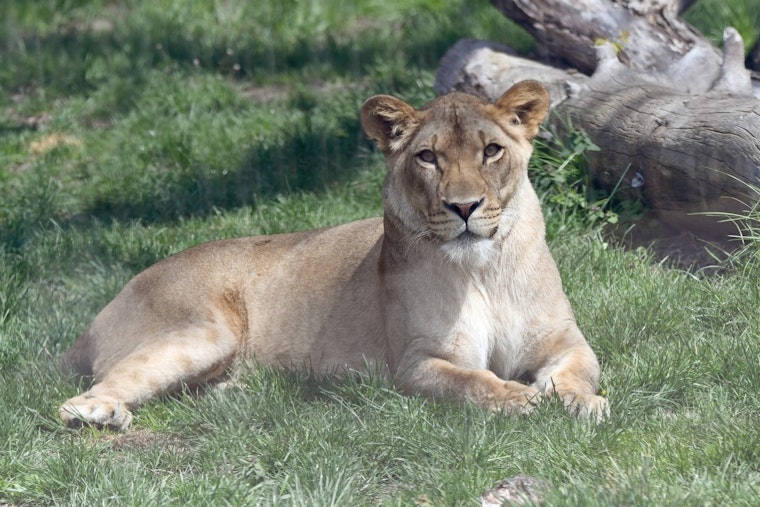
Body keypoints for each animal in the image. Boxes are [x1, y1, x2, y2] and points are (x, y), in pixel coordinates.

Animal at [59, 80, 608, 430]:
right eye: (427, 157)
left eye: (491, 150)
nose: (465, 206)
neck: (482, 269)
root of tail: (103, 310)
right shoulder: (417, 363)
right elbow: (473, 381)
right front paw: (518, 397)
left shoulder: (566, 340)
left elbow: (578, 372)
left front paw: (586, 405)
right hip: (206, 332)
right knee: (83, 396)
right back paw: (103, 415)